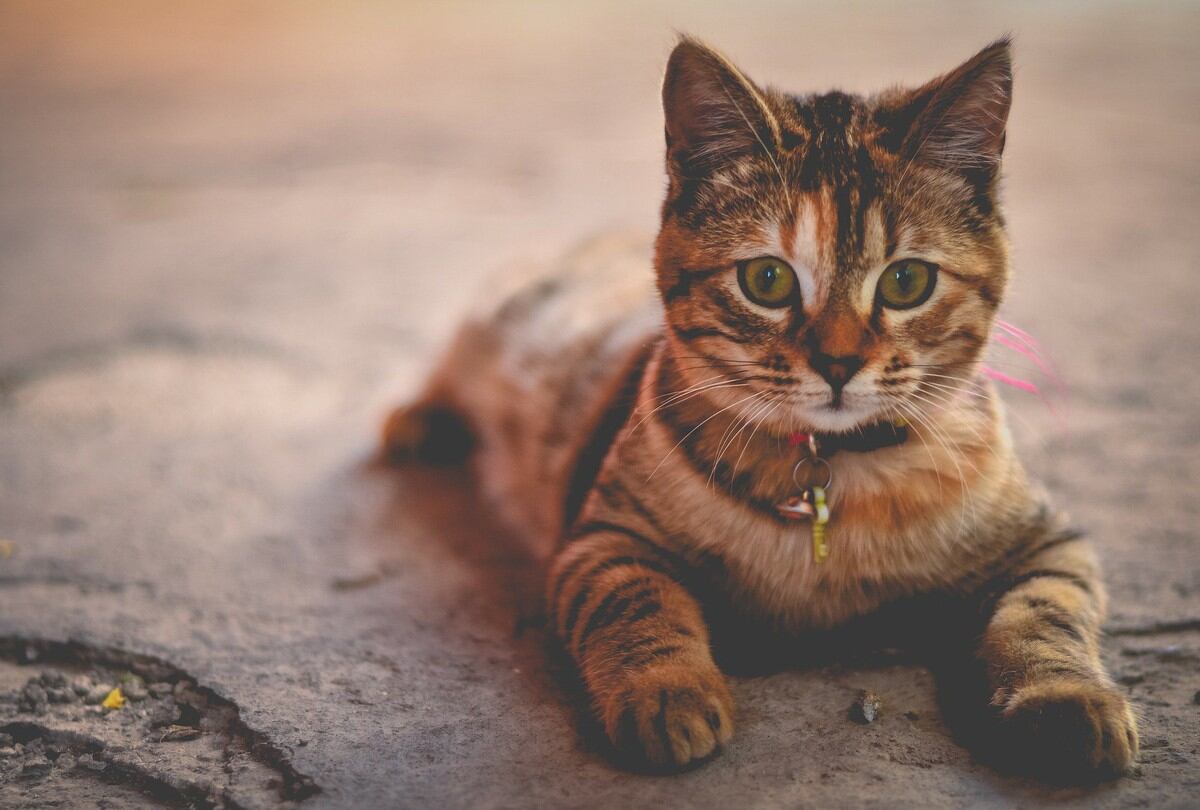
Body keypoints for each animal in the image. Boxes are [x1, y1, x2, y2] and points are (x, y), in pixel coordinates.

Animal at [381, 36, 1132, 777]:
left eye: (907, 281)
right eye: (767, 279)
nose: (838, 364)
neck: (836, 480)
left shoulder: (1047, 541)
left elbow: (1043, 615)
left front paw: (1067, 698)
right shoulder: (604, 539)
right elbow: (638, 604)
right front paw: (667, 691)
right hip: (501, 319)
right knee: (453, 359)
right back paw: (418, 421)